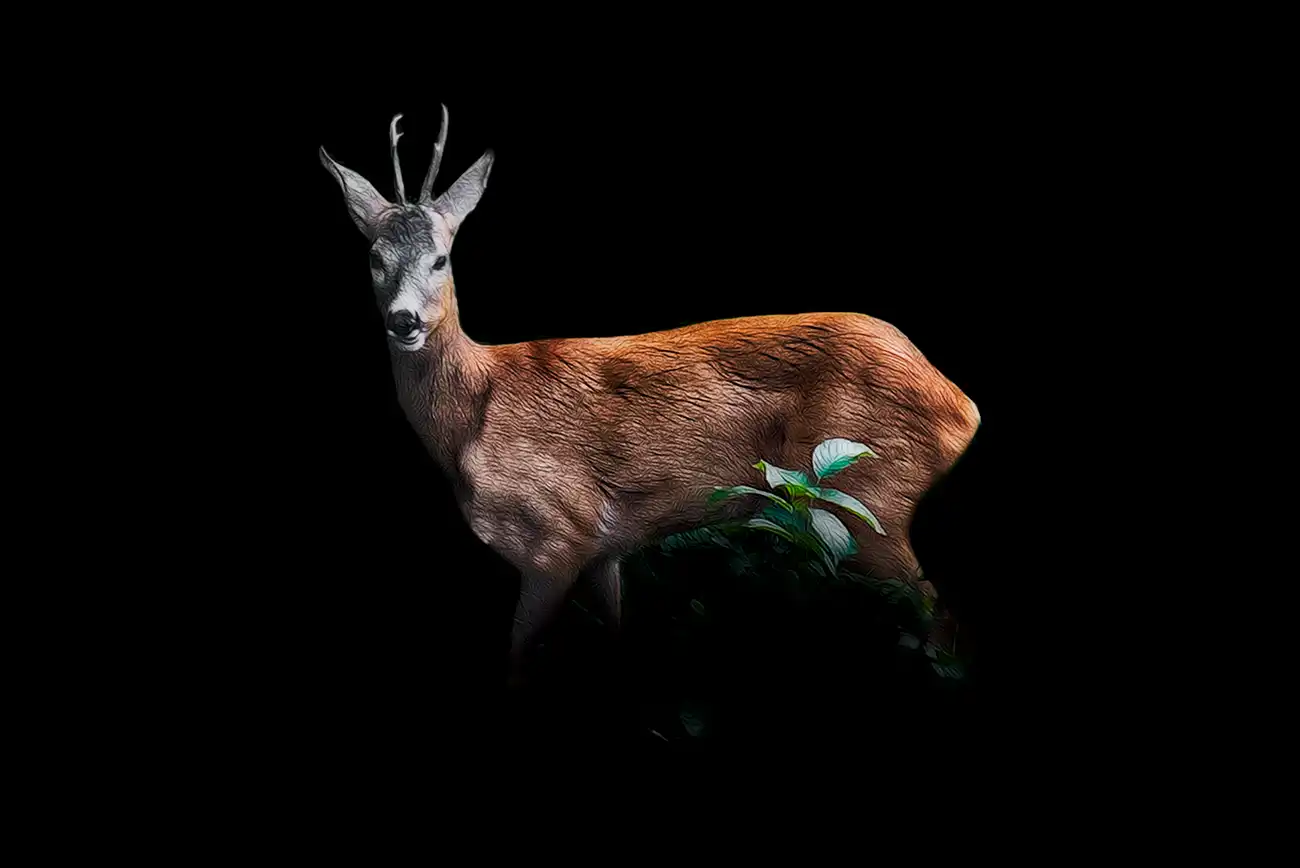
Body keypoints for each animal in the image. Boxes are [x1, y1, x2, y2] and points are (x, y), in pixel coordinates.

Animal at [320, 107, 981, 689]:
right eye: (375, 259)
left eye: (441, 258)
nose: (404, 321)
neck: (474, 416)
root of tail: (962, 406)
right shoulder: (605, 551)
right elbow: (616, 636)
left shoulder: (559, 532)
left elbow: (518, 655)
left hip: (871, 496)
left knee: (936, 608)